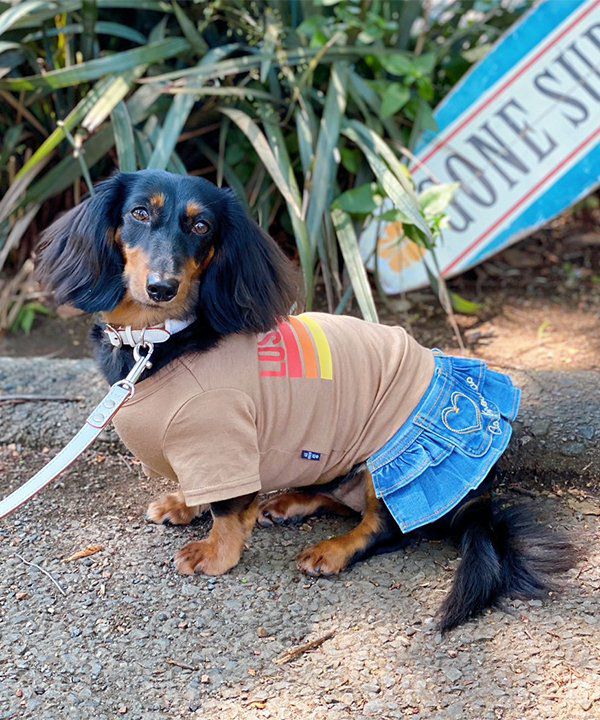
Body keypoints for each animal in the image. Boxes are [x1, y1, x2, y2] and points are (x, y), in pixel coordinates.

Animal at [36, 169, 575, 631]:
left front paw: (214, 553)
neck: (157, 338)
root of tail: (478, 498)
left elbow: (227, 510)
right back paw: (289, 503)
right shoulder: (198, 449)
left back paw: (331, 550)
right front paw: (183, 505)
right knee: (340, 498)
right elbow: (202, 489)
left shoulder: (221, 438)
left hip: (396, 458)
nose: (162, 287)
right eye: (139, 213)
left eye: (202, 225)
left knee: (386, 528)